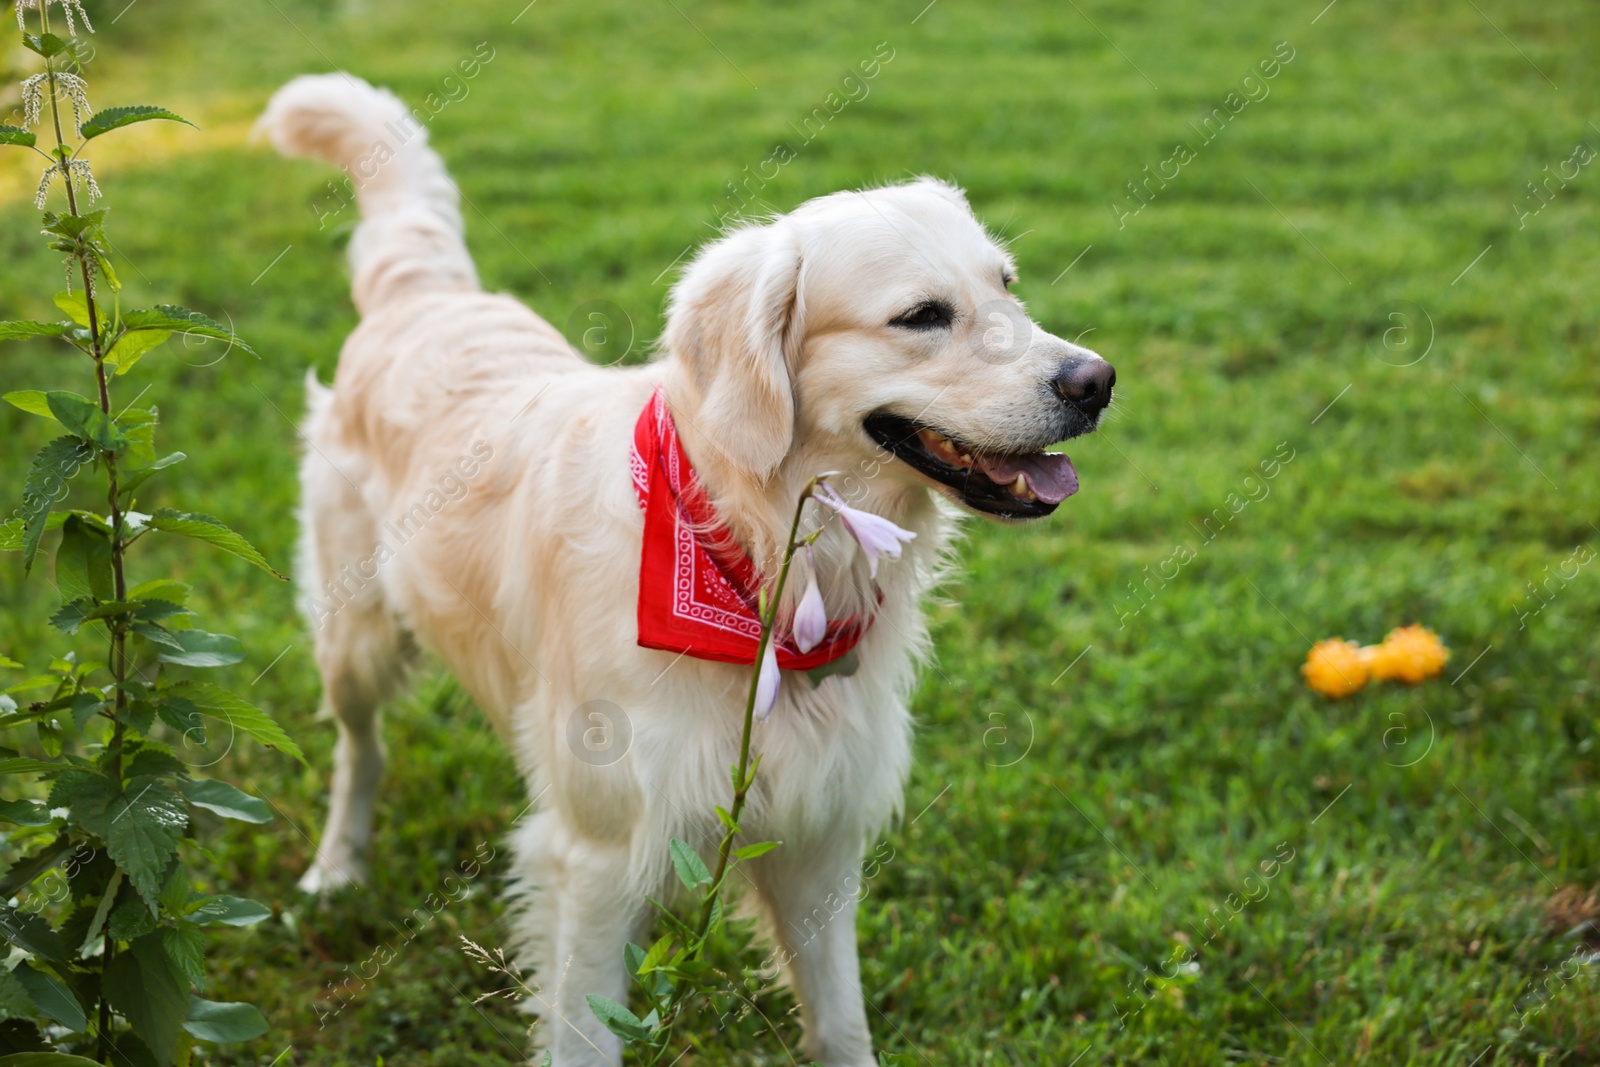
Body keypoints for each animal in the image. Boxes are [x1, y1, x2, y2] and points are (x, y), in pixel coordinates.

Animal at [262, 70, 1113, 1062]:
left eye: (1007, 287)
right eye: (921, 316)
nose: (1097, 381)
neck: (748, 555)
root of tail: (424, 296)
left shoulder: (819, 837)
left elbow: (841, 1024)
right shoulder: (596, 859)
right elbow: (584, 1033)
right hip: (353, 633)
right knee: (357, 746)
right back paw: (336, 867)